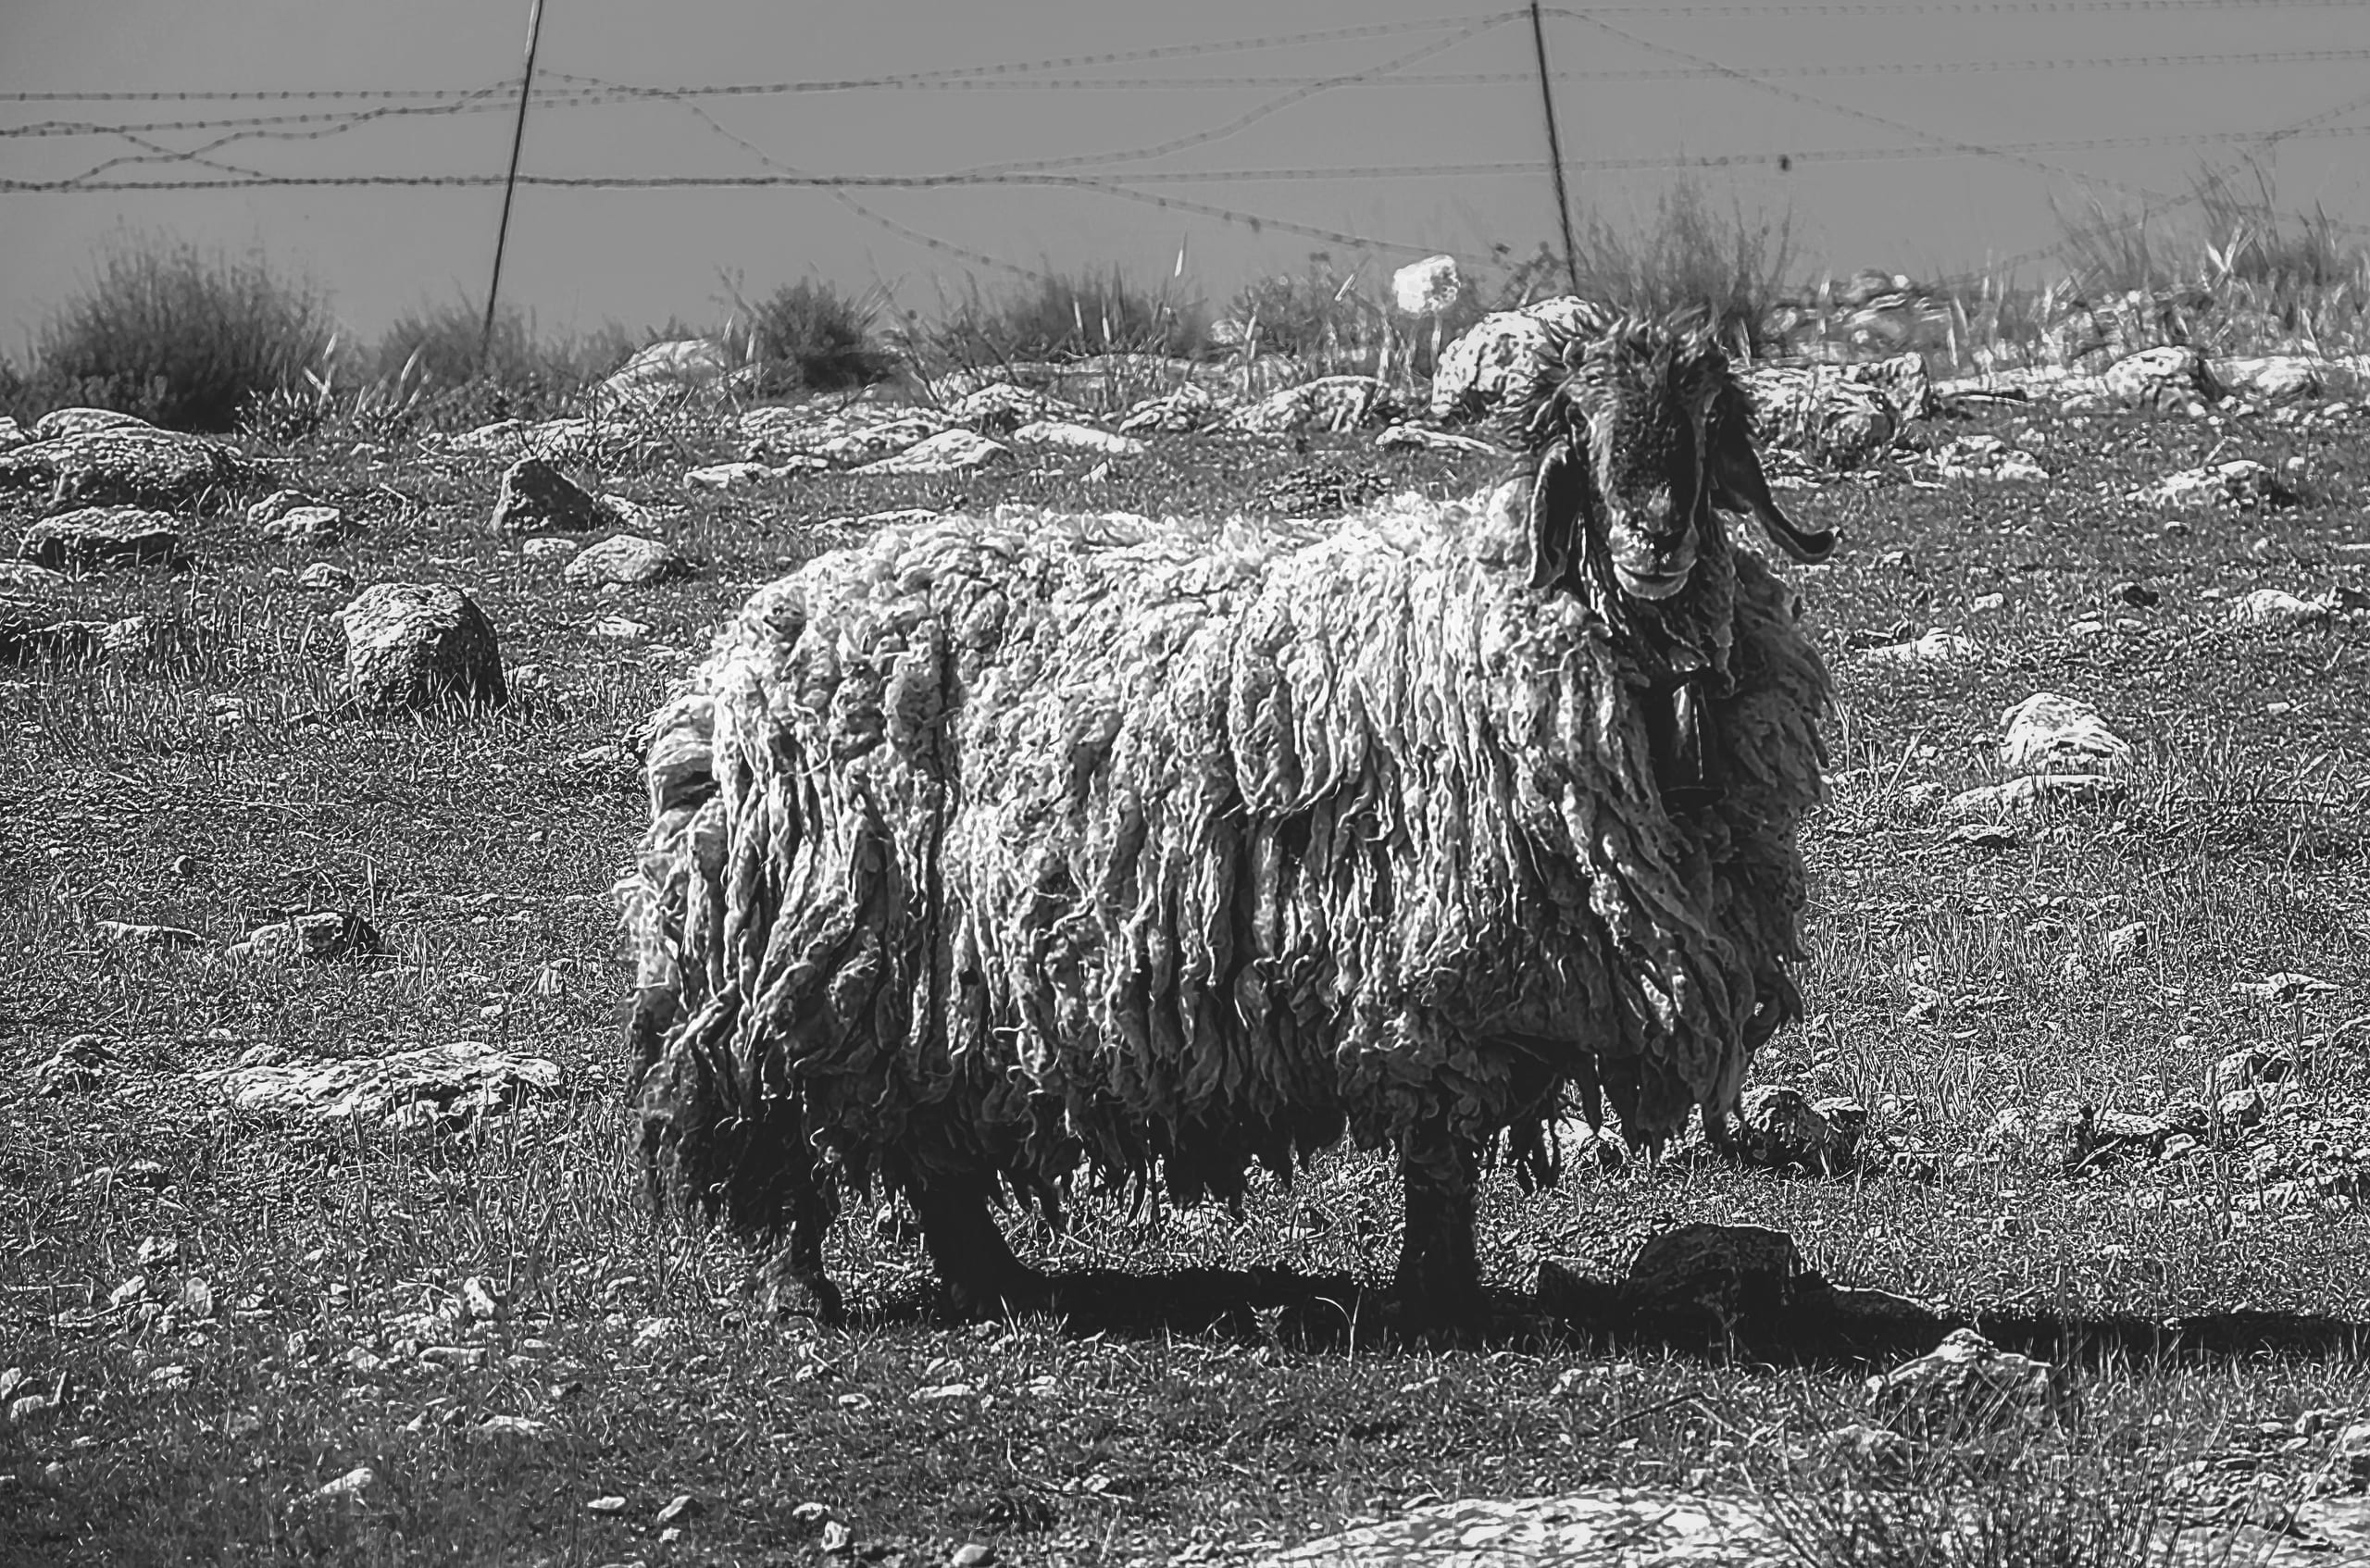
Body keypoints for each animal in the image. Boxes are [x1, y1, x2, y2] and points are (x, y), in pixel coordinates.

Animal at [621, 310, 1837, 1326]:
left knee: (929, 1148)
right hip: (797, 954)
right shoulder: (1432, 981)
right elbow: (1439, 1157)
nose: (1654, 537)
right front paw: (1438, 1300)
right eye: (1579, 427)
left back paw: (997, 1277)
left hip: (926, 992)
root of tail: (734, 661)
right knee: (783, 1116)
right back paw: (798, 1286)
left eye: (1705, 423)